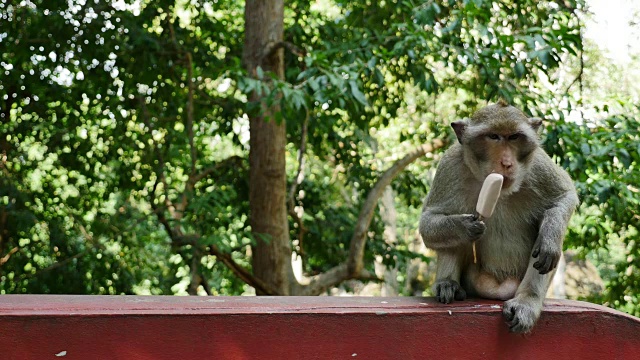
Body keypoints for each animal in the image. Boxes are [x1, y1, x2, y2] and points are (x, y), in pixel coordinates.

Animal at [420, 100, 580, 334]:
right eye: (493, 136)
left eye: (514, 137)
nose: (506, 163)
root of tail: (497, 289)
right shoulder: (449, 165)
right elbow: (429, 221)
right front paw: (467, 226)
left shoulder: (538, 163)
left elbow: (564, 196)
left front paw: (549, 238)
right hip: (473, 279)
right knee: (450, 238)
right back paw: (449, 284)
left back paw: (526, 301)